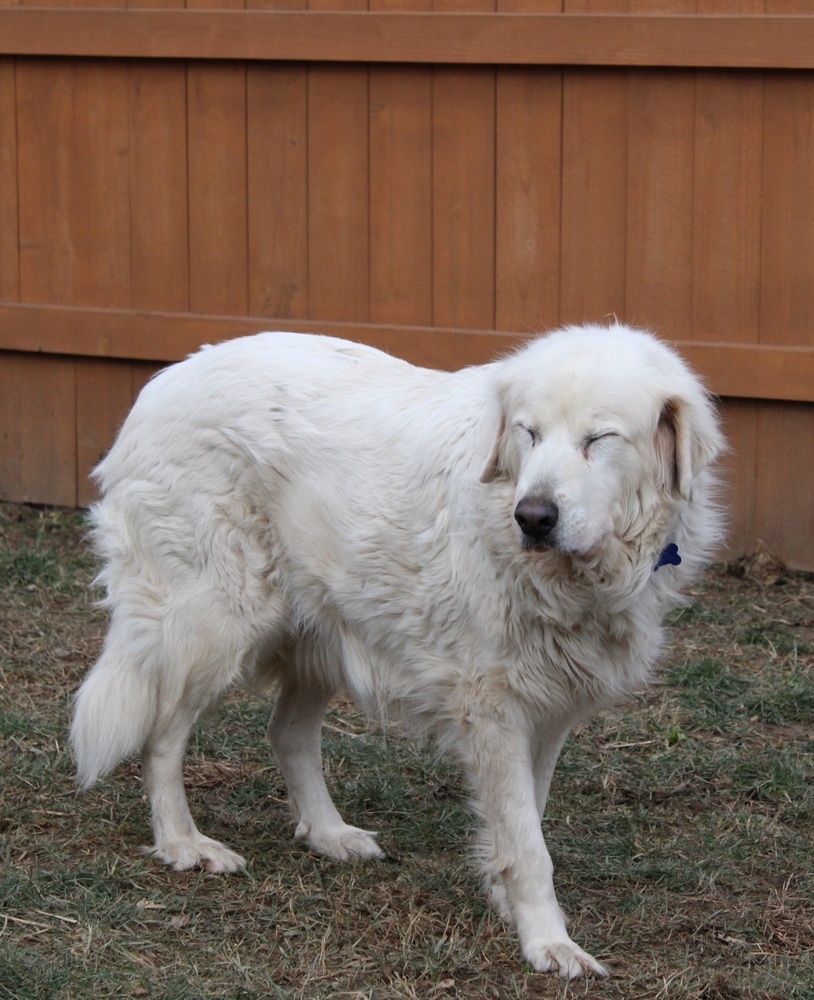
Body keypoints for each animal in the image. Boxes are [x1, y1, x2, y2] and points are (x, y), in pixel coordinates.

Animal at [71, 324, 728, 980]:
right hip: (215, 624)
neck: (575, 577)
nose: (533, 517)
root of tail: (166, 378)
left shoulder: (546, 712)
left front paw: (504, 894)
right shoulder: (494, 709)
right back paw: (183, 844)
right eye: (529, 432)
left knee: (286, 732)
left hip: (326, 625)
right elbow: (528, 841)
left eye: (600, 439)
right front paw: (547, 940)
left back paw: (328, 833)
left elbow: (525, 818)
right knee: (161, 736)